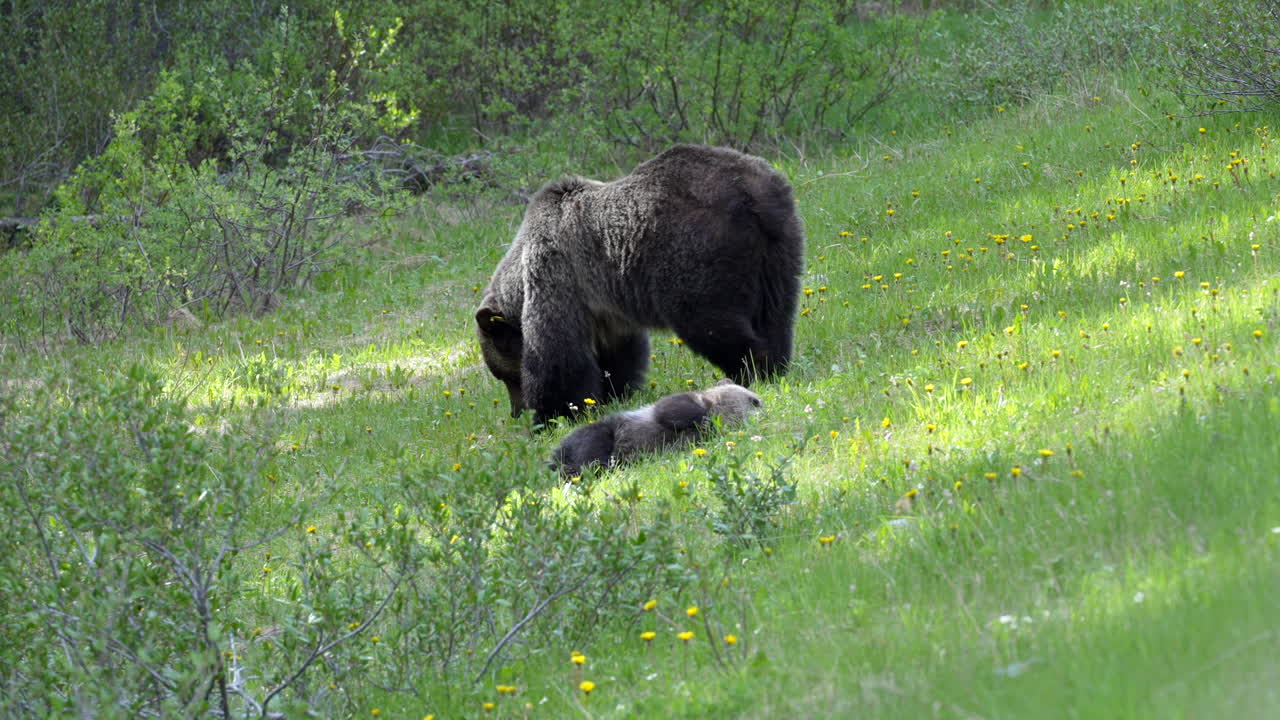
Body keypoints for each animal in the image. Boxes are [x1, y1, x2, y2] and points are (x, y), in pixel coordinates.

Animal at [475, 144, 804, 425]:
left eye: (505, 376)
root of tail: (756, 195)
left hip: (693, 253)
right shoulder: (604, 304)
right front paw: (612, 392)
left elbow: (557, 355)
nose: (516, 410)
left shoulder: (556, 273)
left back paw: (754, 370)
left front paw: (551, 415)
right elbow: (619, 353)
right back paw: (776, 364)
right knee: (775, 315)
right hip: (779, 252)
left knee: (710, 320)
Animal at [551, 379, 762, 476]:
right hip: (604, 431)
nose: (761, 405)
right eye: (754, 401)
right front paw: (703, 419)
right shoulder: (680, 404)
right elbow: (669, 409)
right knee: (591, 448)